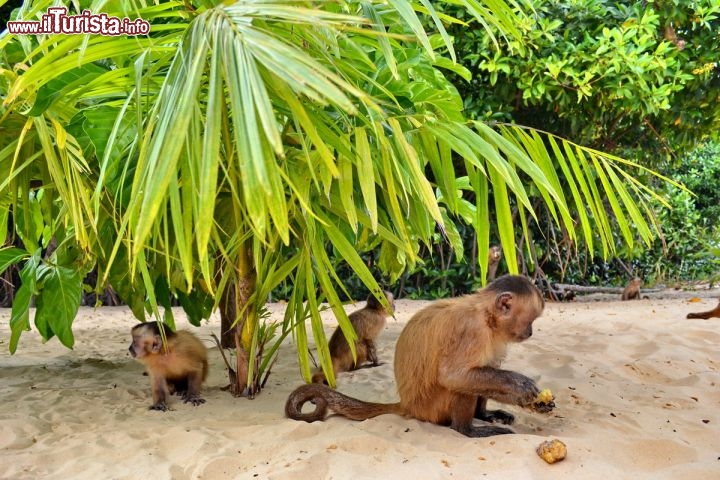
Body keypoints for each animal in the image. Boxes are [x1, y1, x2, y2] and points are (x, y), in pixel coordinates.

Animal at [286, 276, 552, 436]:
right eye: (530, 321)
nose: (530, 331)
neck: (486, 317)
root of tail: (408, 405)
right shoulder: (471, 329)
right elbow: (453, 376)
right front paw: (520, 385)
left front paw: (533, 402)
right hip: (430, 407)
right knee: (458, 382)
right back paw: (466, 429)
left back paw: (482, 416)